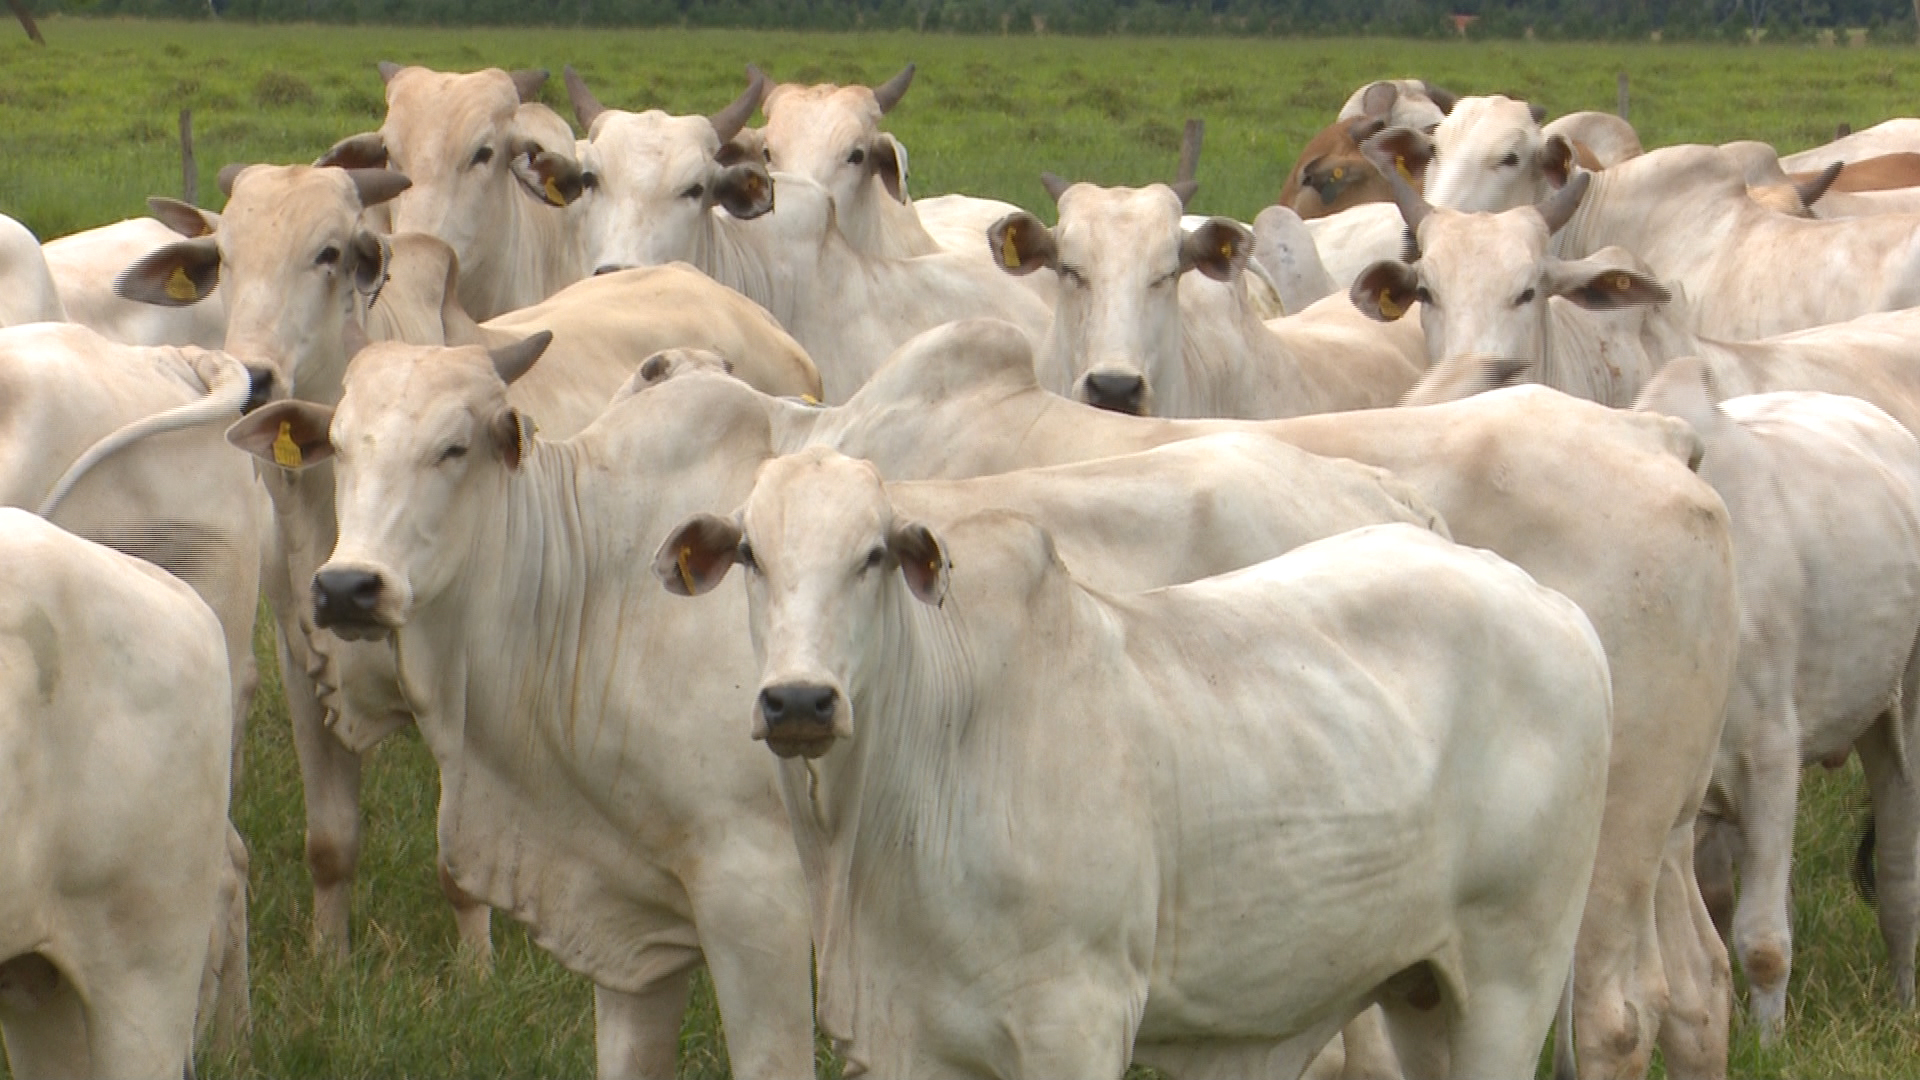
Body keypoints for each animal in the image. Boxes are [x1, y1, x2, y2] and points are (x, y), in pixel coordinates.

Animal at [1628, 361, 1920, 1037]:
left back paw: (1903, 998)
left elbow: (1762, 942)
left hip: (1902, 711)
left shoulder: (1769, 760)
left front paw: (1770, 1042)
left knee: (1900, 870)